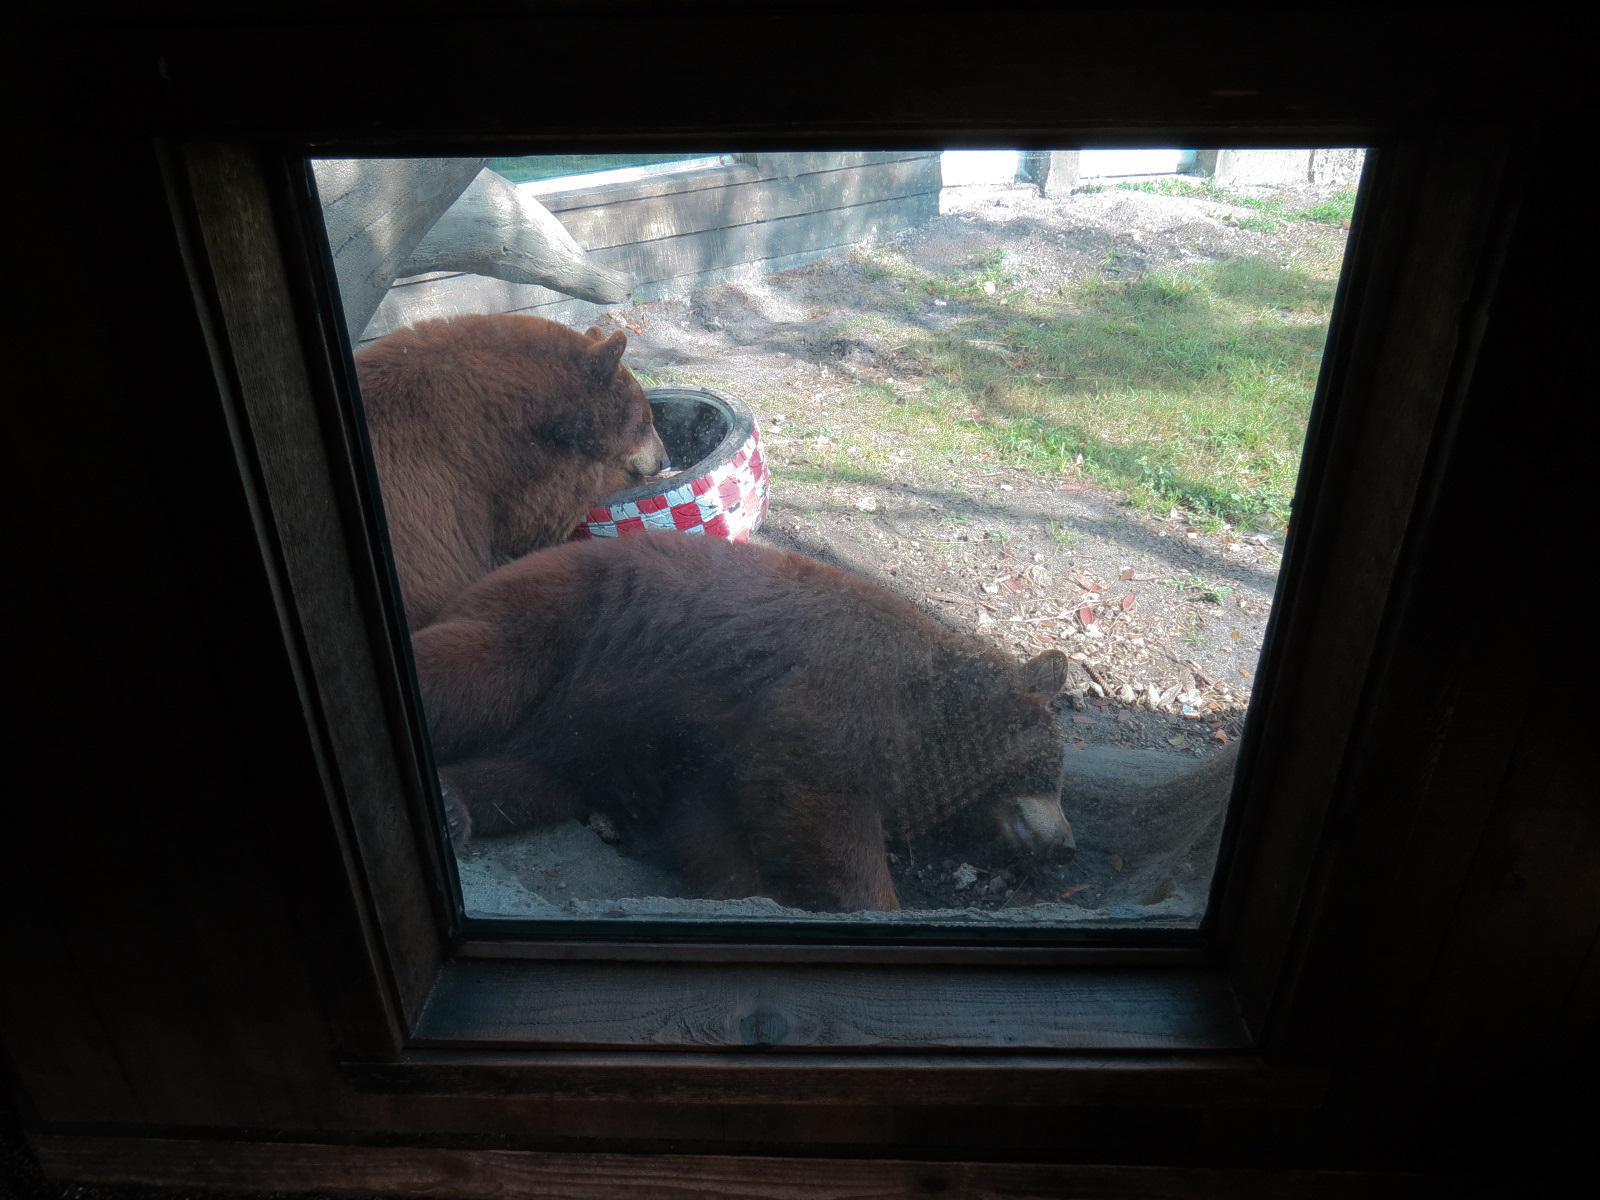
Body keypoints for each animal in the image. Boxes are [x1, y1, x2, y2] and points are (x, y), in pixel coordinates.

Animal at [410, 532, 1076, 912]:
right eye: (1052, 773)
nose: (1068, 844)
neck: (926, 716)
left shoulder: (707, 744)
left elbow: (712, 826)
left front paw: (753, 889)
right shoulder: (833, 698)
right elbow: (820, 808)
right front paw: (871, 899)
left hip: (593, 717)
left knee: (543, 774)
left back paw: (455, 802)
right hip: (565, 615)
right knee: (475, 667)